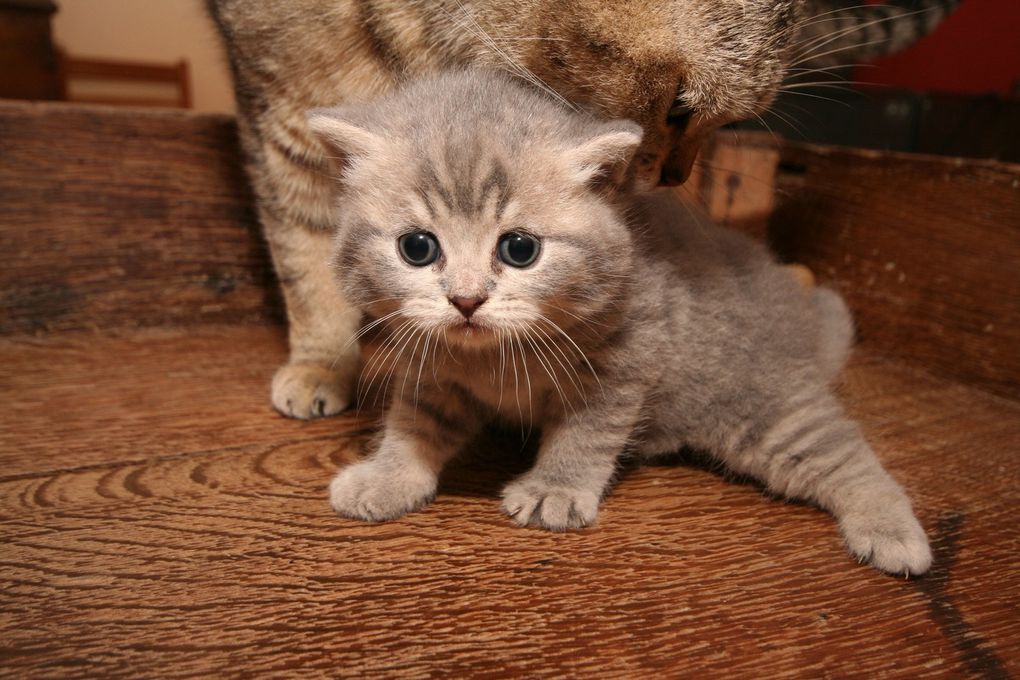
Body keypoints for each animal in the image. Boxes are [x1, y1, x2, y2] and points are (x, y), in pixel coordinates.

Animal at [207, 0, 954, 420]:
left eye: (728, 123)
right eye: (678, 107)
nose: (676, 174)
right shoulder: (283, 119)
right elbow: (309, 267)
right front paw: (322, 364)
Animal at [308, 71, 934, 579]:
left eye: (519, 249)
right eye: (417, 247)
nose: (466, 300)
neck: (493, 355)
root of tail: (786, 301)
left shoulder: (624, 365)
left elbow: (586, 433)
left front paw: (555, 488)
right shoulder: (434, 372)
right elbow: (415, 423)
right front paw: (388, 476)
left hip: (764, 405)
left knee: (844, 453)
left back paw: (893, 532)